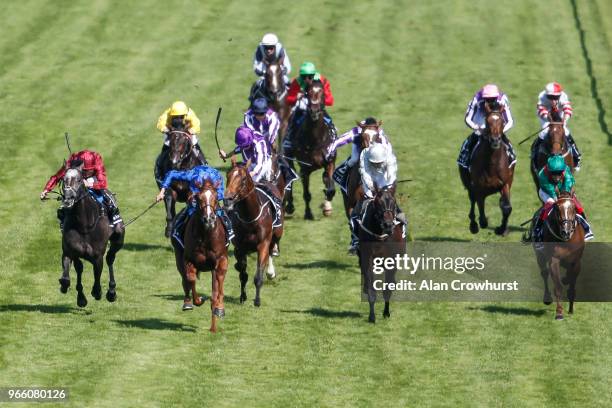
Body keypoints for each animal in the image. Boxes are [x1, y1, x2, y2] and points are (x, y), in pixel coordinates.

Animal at [171, 181, 228, 332]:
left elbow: (218, 287)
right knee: (185, 279)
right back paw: (187, 302)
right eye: (199, 198)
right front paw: (198, 300)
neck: (206, 234)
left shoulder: (219, 260)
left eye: (215, 197)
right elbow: (190, 279)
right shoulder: (189, 259)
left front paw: (218, 310)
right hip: (178, 256)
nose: (209, 219)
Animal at [224, 158, 284, 308]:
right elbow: (242, 272)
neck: (250, 217)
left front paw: (257, 301)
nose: (227, 199)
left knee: (272, 249)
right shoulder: (240, 247)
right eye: (228, 176)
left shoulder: (262, 244)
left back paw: (270, 272)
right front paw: (242, 296)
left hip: (277, 233)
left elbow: (258, 275)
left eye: (243, 179)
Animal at [284, 80, 338, 220]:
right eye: (308, 93)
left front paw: (326, 206)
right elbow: (306, 194)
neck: (315, 139)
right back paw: (289, 206)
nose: (314, 110)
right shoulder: (305, 169)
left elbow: (330, 187)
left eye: (322, 93)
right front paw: (308, 214)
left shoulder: (330, 162)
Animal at [354, 186, 406, 324]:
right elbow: (371, 289)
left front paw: (386, 312)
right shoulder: (367, 258)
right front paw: (372, 316)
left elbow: (387, 288)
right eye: (377, 203)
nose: (388, 225)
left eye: (394, 202)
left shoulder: (391, 259)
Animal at [460, 108, 516, 236]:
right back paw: (473, 226)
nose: (495, 140)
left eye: (502, 121)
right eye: (487, 121)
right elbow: (481, 210)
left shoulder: (505, 183)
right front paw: (481, 223)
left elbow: (506, 207)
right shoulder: (478, 187)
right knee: (472, 200)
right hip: (468, 184)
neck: (492, 163)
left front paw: (501, 229)